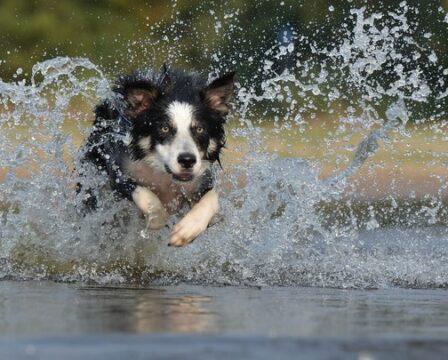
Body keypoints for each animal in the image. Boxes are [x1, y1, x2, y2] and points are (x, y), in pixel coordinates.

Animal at [79, 66, 236, 246]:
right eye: (164, 128)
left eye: (199, 129)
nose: (187, 160)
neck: (163, 173)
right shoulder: (118, 170)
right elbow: (147, 197)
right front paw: (156, 219)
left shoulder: (202, 178)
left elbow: (212, 198)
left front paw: (187, 230)